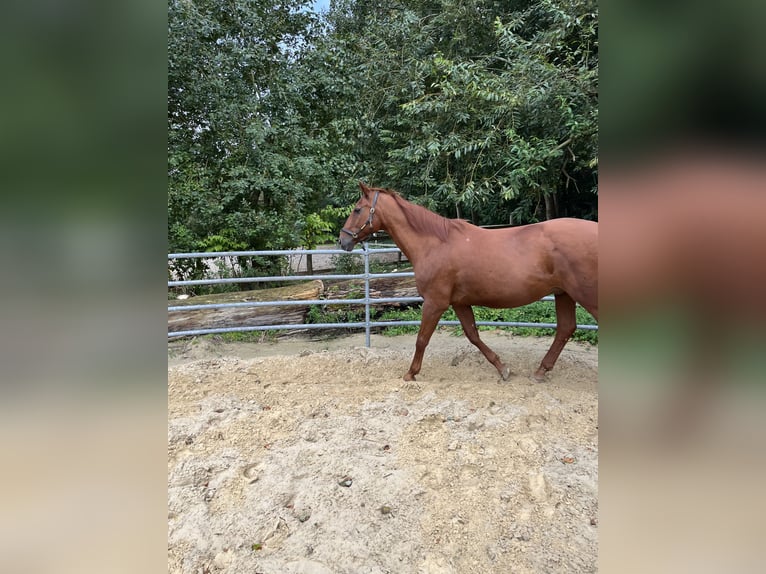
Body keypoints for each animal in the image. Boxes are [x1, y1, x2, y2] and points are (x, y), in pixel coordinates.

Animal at [342, 184, 600, 382]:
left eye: (356, 209)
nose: (343, 240)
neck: (435, 243)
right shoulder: (459, 303)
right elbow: (473, 335)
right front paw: (503, 369)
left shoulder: (435, 303)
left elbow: (422, 339)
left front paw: (411, 374)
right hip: (564, 294)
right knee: (565, 329)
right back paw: (540, 371)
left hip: (585, 296)